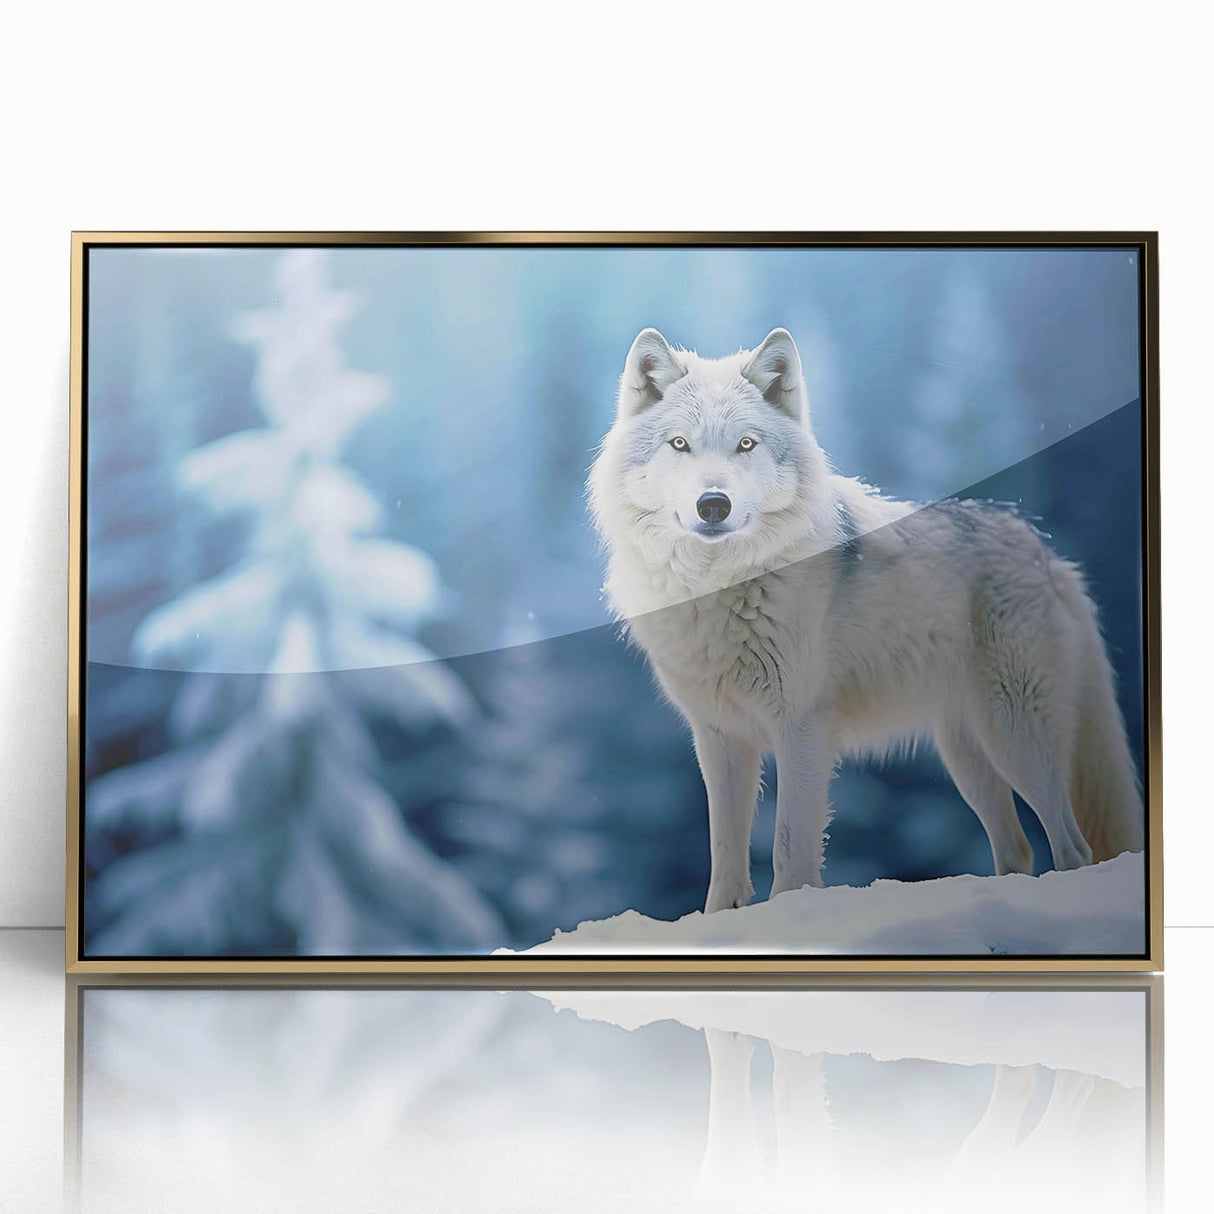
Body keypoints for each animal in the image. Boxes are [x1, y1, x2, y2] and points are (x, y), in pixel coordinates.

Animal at [589, 327, 1143, 913]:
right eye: (680, 445)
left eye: (746, 445)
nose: (713, 504)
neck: (721, 587)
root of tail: (1050, 556)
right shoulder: (720, 737)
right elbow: (724, 856)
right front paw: (722, 921)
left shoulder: (802, 727)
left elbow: (789, 847)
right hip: (968, 758)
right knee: (1018, 849)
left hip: (1016, 739)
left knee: (1073, 847)